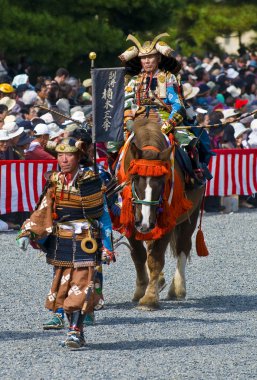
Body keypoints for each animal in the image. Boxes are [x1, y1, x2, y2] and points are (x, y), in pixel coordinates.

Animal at [120, 120, 204, 310]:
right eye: (134, 178)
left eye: (163, 181)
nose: (145, 222)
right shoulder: (130, 221)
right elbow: (139, 255)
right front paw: (141, 289)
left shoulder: (167, 221)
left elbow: (156, 259)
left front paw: (149, 299)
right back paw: (159, 281)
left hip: (191, 213)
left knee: (183, 246)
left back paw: (177, 288)